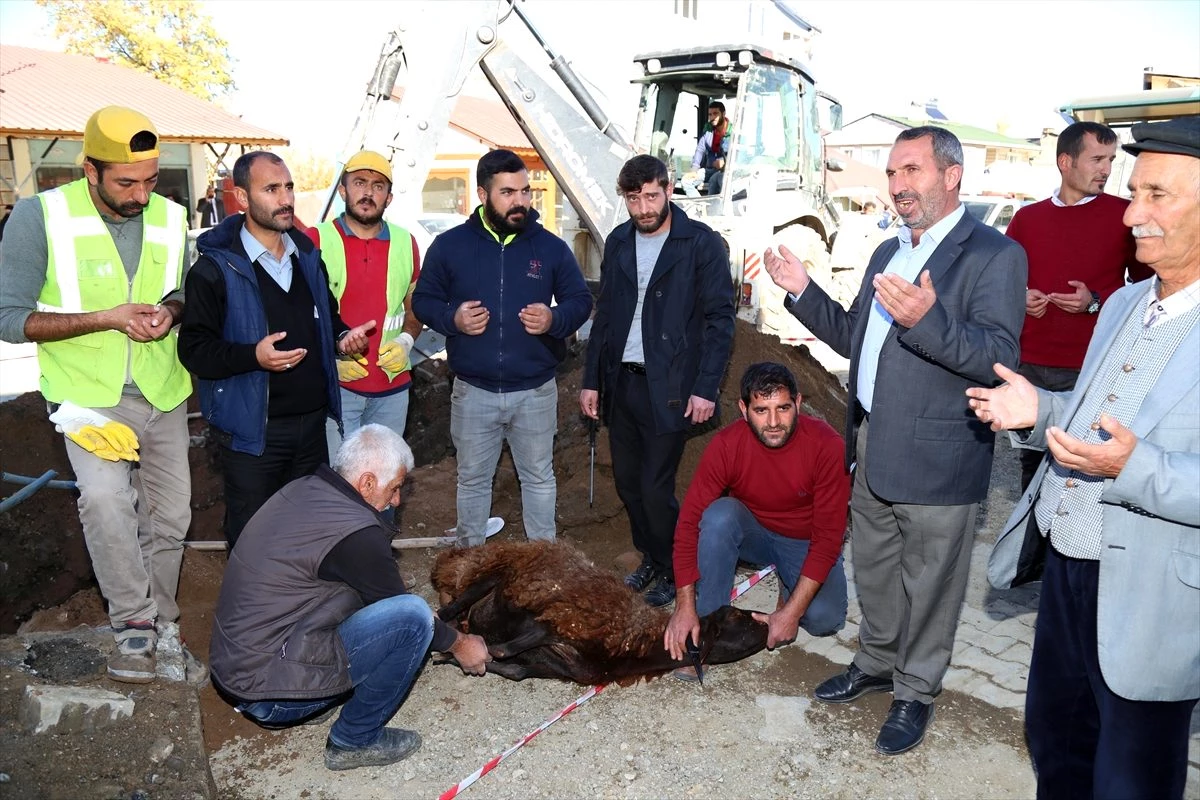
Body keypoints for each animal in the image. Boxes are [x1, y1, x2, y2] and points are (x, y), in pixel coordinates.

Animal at [432, 542, 768, 686]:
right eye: (738, 616)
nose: (766, 622)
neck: (642, 645)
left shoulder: (561, 666)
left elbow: (512, 668)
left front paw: (452, 658)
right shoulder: (562, 618)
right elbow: (504, 649)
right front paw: (456, 653)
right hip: (502, 577)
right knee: (450, 606)